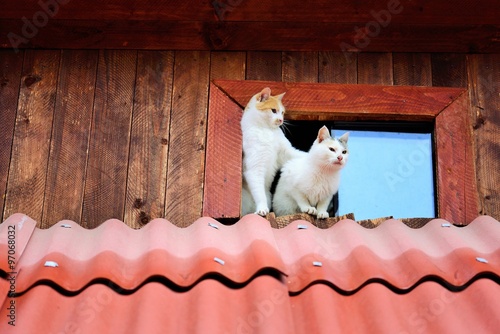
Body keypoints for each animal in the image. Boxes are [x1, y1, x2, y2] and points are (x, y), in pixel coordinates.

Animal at [239, 87, 304, 217]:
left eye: (282, 112)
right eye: (274, 110)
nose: (281, 120)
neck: (267, 131)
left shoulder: (285, 153)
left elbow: (299, 154)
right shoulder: (254, 169)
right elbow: (259, 193)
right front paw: (262, 209)